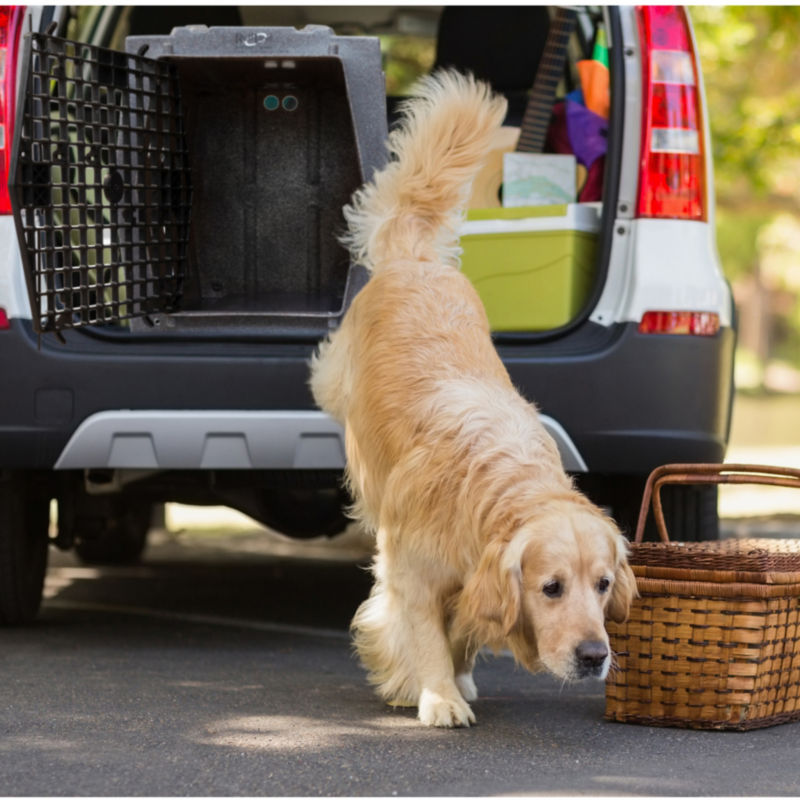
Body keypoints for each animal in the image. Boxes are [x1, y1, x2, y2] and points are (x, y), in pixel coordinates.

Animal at [310, 72, 636, 728]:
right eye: (551, 587)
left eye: (604, 584)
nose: (595, 656)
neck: (491, 494)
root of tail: (418, 259)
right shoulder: (411, 570)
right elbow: (424, 633)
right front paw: (436, 696)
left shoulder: (472, 584)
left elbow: (462, 631)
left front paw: (455, 680)